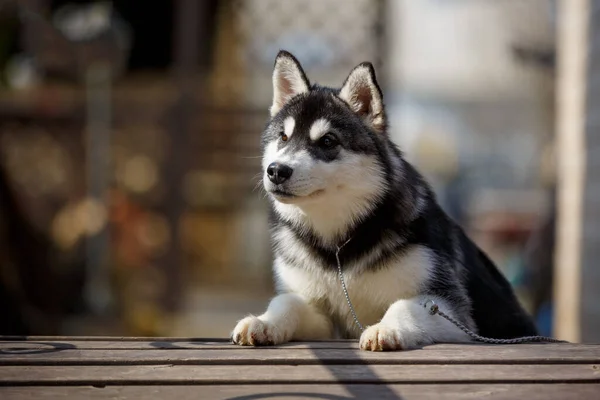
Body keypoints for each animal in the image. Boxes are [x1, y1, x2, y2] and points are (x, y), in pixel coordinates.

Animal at [231, 50, 540, 350]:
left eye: (328, 141)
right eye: (283, 137)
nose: (276, 171)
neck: (340, 248)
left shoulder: (450, 307)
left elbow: (404, 305)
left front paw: (385, 328)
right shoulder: (325, 318)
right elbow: (286, 302)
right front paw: (263, 322)